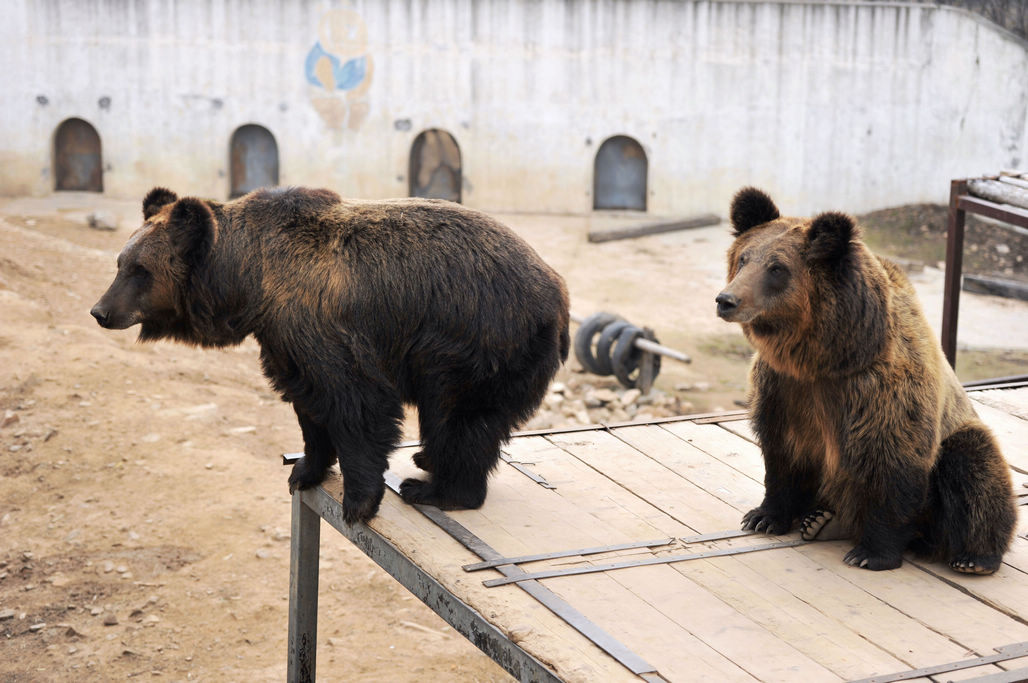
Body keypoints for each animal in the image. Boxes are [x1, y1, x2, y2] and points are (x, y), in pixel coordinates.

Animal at [719, 185, 1015, 571]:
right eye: (744, 258)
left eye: (777, 268)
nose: (727, 299)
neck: (823, 357)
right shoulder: (782, 387)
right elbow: (782, 452)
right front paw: (763, 516)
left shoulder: (879, 389)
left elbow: (891, 461)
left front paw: (871, 553)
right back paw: (821, 520)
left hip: (958, 440)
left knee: (974, 466)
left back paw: (975, 557)